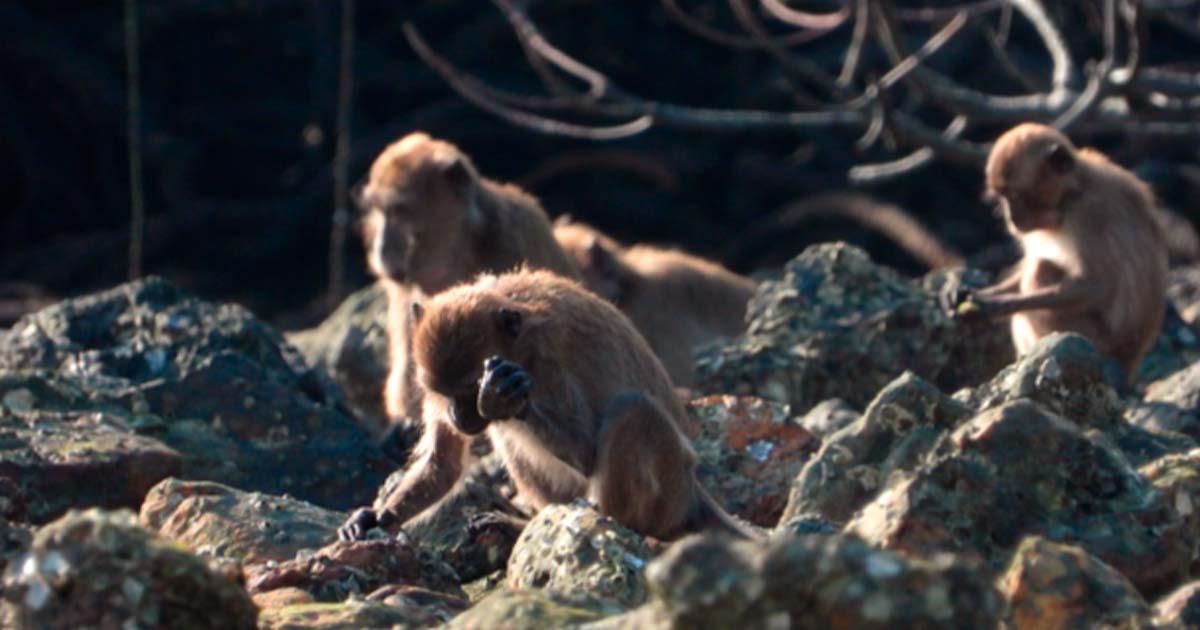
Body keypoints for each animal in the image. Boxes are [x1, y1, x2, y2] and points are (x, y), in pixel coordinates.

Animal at [337, 268, 754, 542]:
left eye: (469, 390)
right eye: (441, 392)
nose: (456, 415)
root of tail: (691, 493)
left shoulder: (549, 364)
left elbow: (587, 451)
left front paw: (500, 398)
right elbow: (444, 464)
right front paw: (376, 518)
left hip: (666, 491)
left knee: (633, 410)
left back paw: (613, 524)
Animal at [357, 132, 583, 456]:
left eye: (399, 212)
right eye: (380, 212)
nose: (381, 248)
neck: (460, 250)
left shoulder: (517, 235)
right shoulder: (405, 287)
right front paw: (405, 423)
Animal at [942, 123, 1168, 383]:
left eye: (1015, 196)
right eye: (1002, 197)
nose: (1010, 217)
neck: (1072, 195)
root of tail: (1129, 360)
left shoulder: (1091, 212)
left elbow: (1096, 286)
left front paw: (995, 306)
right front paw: (964, 292)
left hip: (1097, 342)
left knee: (1040, 271)